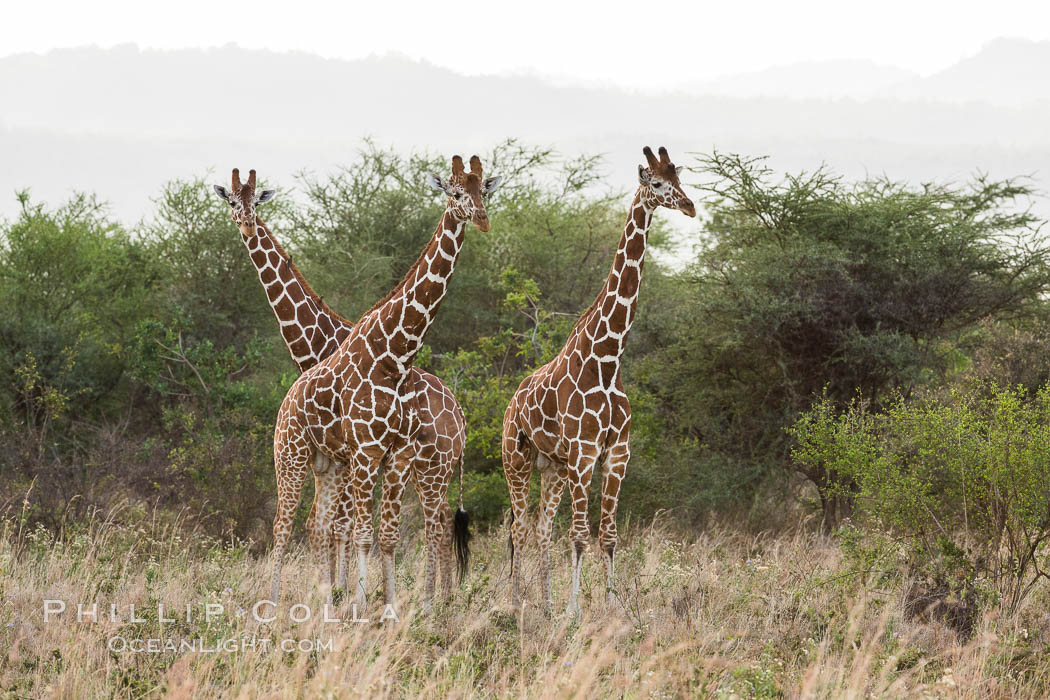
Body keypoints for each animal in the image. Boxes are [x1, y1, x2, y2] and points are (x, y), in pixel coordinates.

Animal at [213, 167, 472, 608]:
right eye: (232, 200)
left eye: (254, 202)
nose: (245, 223)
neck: (320, 342)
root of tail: (461, 417)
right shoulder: (340, 455)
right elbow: (331, 525)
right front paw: (337, 592)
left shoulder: (351, 454)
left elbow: (342, 527)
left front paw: (345, 593)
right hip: (430, 469)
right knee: (439, 523)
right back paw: (443, 599)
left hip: (433, 466)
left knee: (435, 526)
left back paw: (432, 602)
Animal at [270, 154, 499, 612]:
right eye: (456, 192)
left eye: (485, 189)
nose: (481, 219)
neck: (393, 355)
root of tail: (287, 398)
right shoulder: (365, 452)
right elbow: (362, 532)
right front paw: (358, 605)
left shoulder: (396, 454)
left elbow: (387, 535)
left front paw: (388, 607)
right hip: (291, 455)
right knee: (282, 526)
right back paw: (268, 605)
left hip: (333, 466)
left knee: (324, 524)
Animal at [501, 146, 697, 612]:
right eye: (657, 184)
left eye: (679, 180)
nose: (689, 207)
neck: (607, 360)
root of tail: (511, 403)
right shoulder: (584, 452)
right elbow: (579, 536)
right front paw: (576, 610)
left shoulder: (616, 453)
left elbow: (607, 536)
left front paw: (612, 607)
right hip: (516, 458)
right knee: (518, 529)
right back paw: (517, 604)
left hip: (552, 467)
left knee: (540, 528)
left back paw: (545, 604)